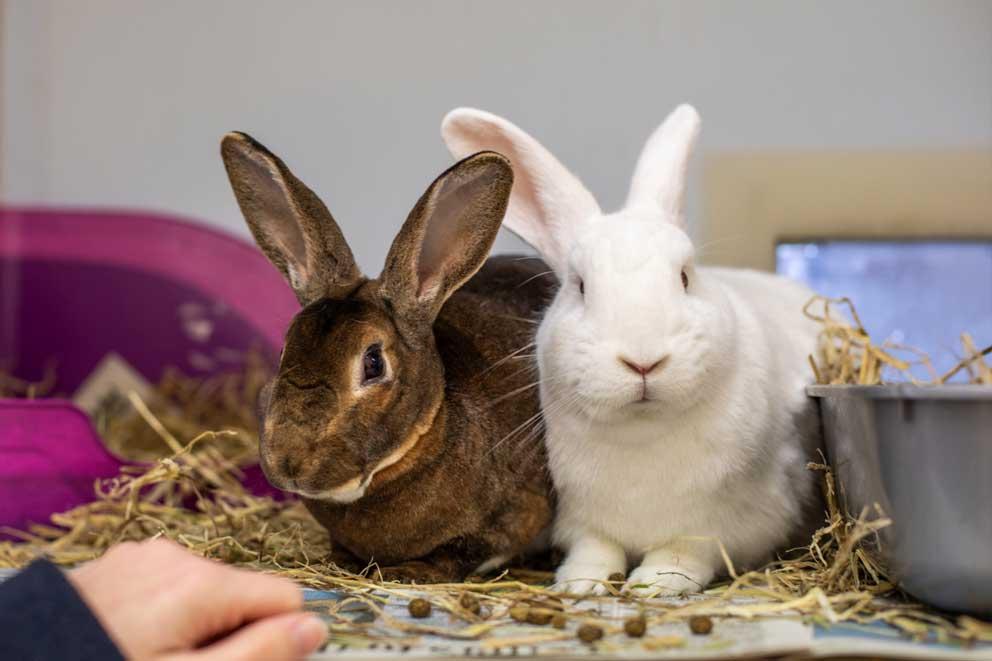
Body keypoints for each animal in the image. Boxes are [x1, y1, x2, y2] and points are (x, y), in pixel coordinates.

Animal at [220, 133, 556, 576]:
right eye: (286, 347)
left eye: (373, 363)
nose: (289, 462)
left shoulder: (514, 517)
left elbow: (463, 552)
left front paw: (408, 572)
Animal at [442, 105, 820, 596]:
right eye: (580, 287)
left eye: (685, 277)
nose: (644, 361)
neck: (643, 431)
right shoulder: (583, 519)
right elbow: (595, 548)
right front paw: (581, 583)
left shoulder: (717, 528)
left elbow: (681, 555)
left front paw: (655, 585)